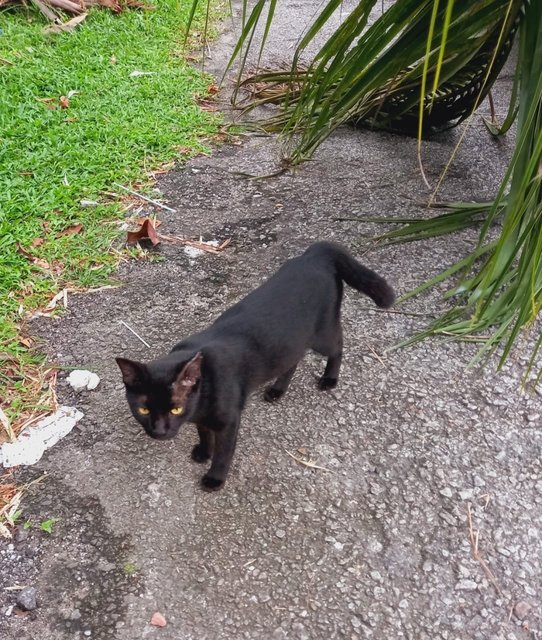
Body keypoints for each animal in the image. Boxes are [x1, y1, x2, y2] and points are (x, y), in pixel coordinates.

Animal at [118, 242, 396, 492]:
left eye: (175, 409)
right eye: (143, 409)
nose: (159, 431)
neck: (204, 389)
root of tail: (315, 254)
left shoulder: (229, 420)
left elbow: (224, 452)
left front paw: (215, 478)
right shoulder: (201, 415)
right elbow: (204, 433)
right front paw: (203, 452)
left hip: (322, 335)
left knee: (338, 345)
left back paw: (329, 379)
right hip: (290, 342)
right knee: (292, 361)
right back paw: (277, 390)